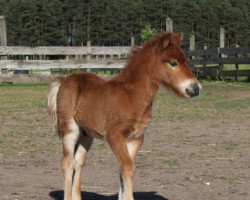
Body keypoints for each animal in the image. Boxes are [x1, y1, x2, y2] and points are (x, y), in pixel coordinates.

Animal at [47, 32, 202, 199]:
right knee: (67, 162)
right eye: (173, 63)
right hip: (70, 129)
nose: (196, 88)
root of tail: (64, 80)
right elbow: (128, 167)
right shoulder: (115, 136)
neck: (131, 96)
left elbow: (124, 168)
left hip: (86, 134)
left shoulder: (136, 138)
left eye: (186, 61)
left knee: (79, 161)